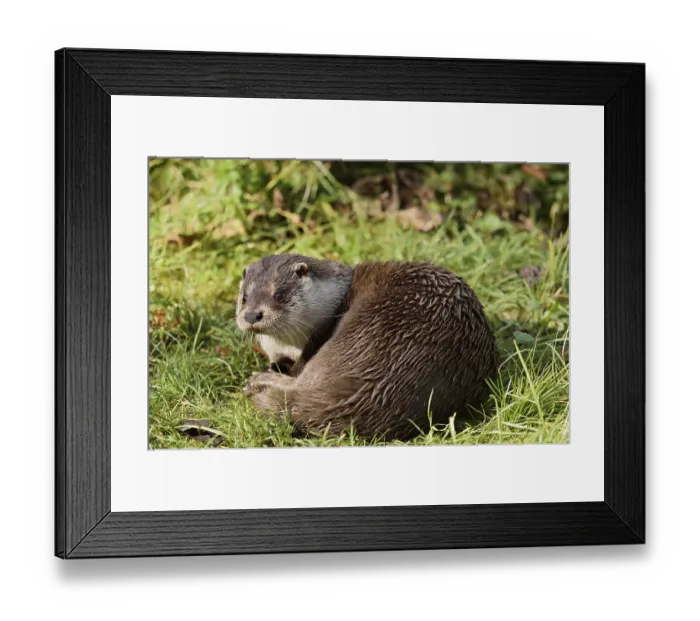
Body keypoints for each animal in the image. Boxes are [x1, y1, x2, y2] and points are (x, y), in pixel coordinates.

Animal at [236, 254, 499, 441]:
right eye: (244, 297)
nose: (251, 315)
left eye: (279, 295)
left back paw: (259, 382)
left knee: (302, 383)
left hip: (360, 332)